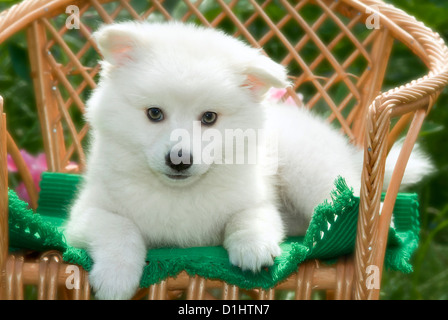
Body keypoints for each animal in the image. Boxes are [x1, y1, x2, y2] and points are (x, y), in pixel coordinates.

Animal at [64, 21, 434, 298]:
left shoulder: (255, 199)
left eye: (209, 117)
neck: (179, 193)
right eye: (154, 113)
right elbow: (119, 227)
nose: (179, 160)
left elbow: (248, 217)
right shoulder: (84, 214)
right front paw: (116, 276)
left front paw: (253, 247)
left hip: (307, 172)